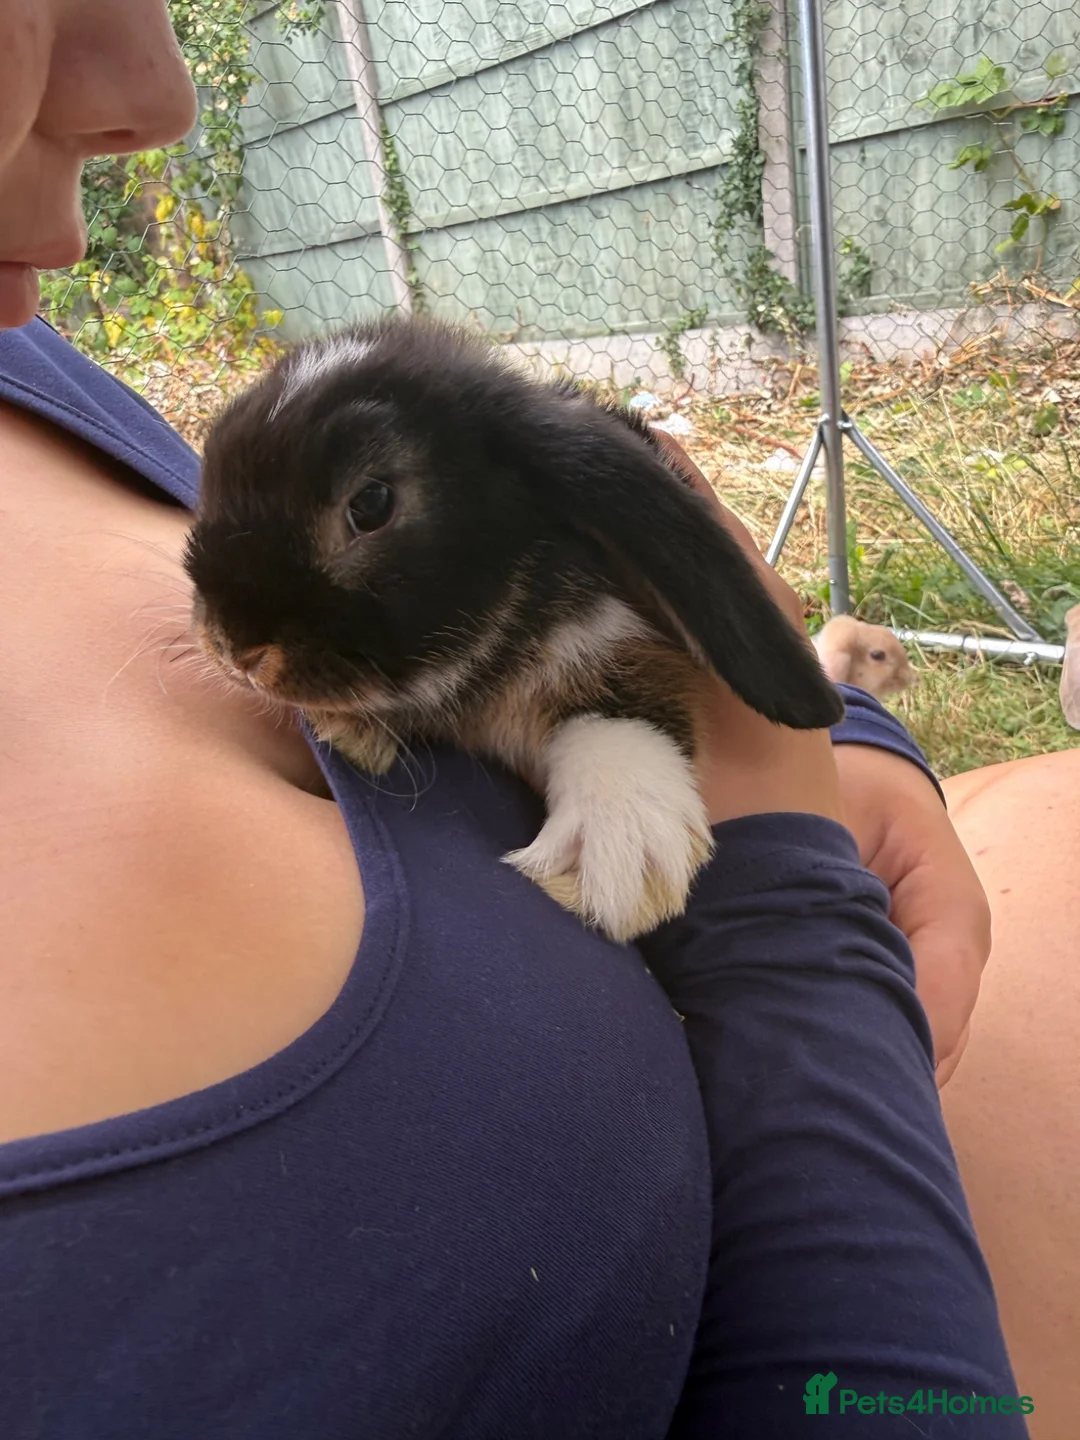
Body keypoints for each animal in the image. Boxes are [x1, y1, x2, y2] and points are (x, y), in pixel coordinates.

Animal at [184, 317, 843, 944]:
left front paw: (620, 845)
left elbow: (626, 710)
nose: (236, 650)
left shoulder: (612, 635)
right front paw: (349, 730)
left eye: (371, 503)